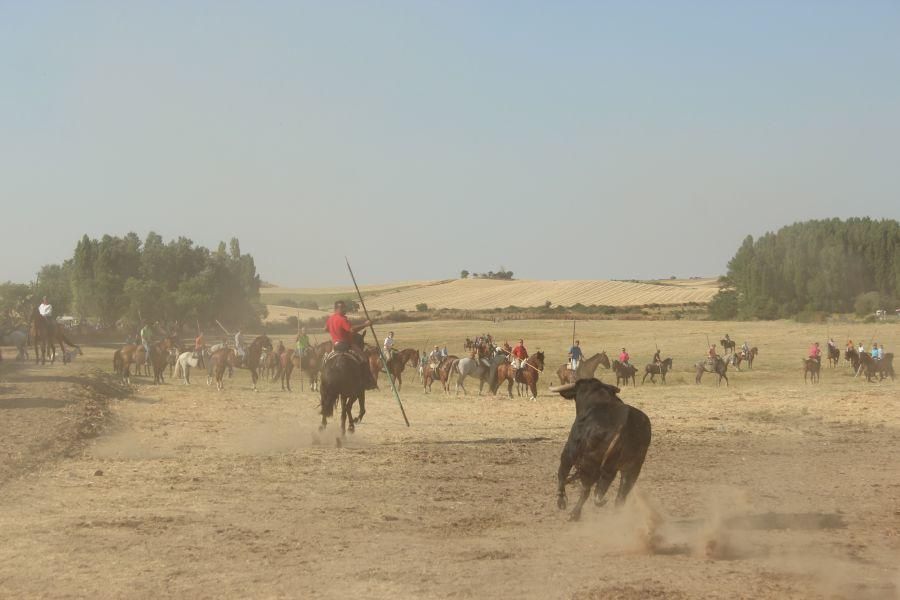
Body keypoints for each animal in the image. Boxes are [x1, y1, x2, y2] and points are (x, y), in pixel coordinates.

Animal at [552, 380, 652, 520]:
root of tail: (625, 422)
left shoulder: (569, 451)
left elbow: (562, 472)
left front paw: (561, 501)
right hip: (633, 466)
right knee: (620, 495)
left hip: (592, 462)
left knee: (587, 489)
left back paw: (574, 514)